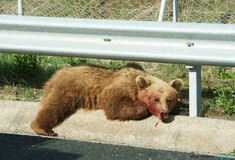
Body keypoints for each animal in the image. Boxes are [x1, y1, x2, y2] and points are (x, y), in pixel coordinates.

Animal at [29, 62, 184, 136]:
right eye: (155, 99)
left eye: (169, 99)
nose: (164, 112)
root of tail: (60, 72)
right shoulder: (118, 87)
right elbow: (114, 106)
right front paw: (143, 108)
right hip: (70, 89)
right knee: (55, 106)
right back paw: (43, 128)